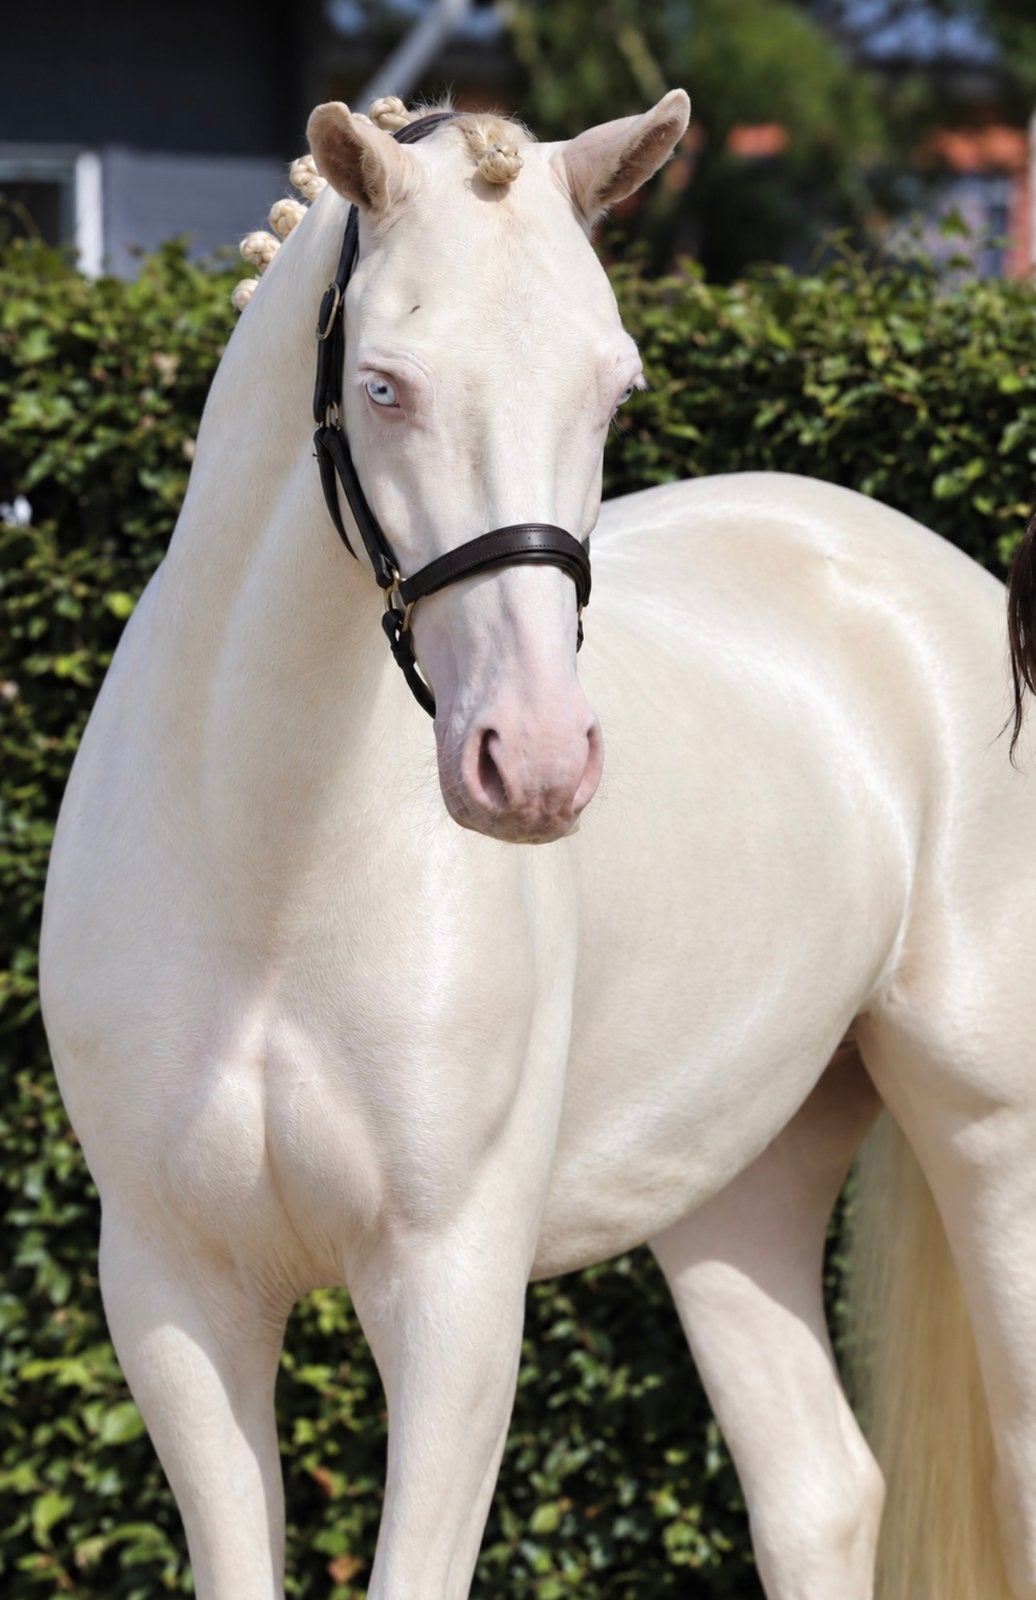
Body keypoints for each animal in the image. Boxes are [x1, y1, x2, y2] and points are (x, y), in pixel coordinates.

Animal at [38, 87, 1036, 1600]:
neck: (265, 874)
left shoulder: (450, 1291)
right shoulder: (175, 1295)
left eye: (613, 391)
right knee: (818, 1492)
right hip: (735, 1186)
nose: (539, 765)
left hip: (992, 1137)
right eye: (384, 385)